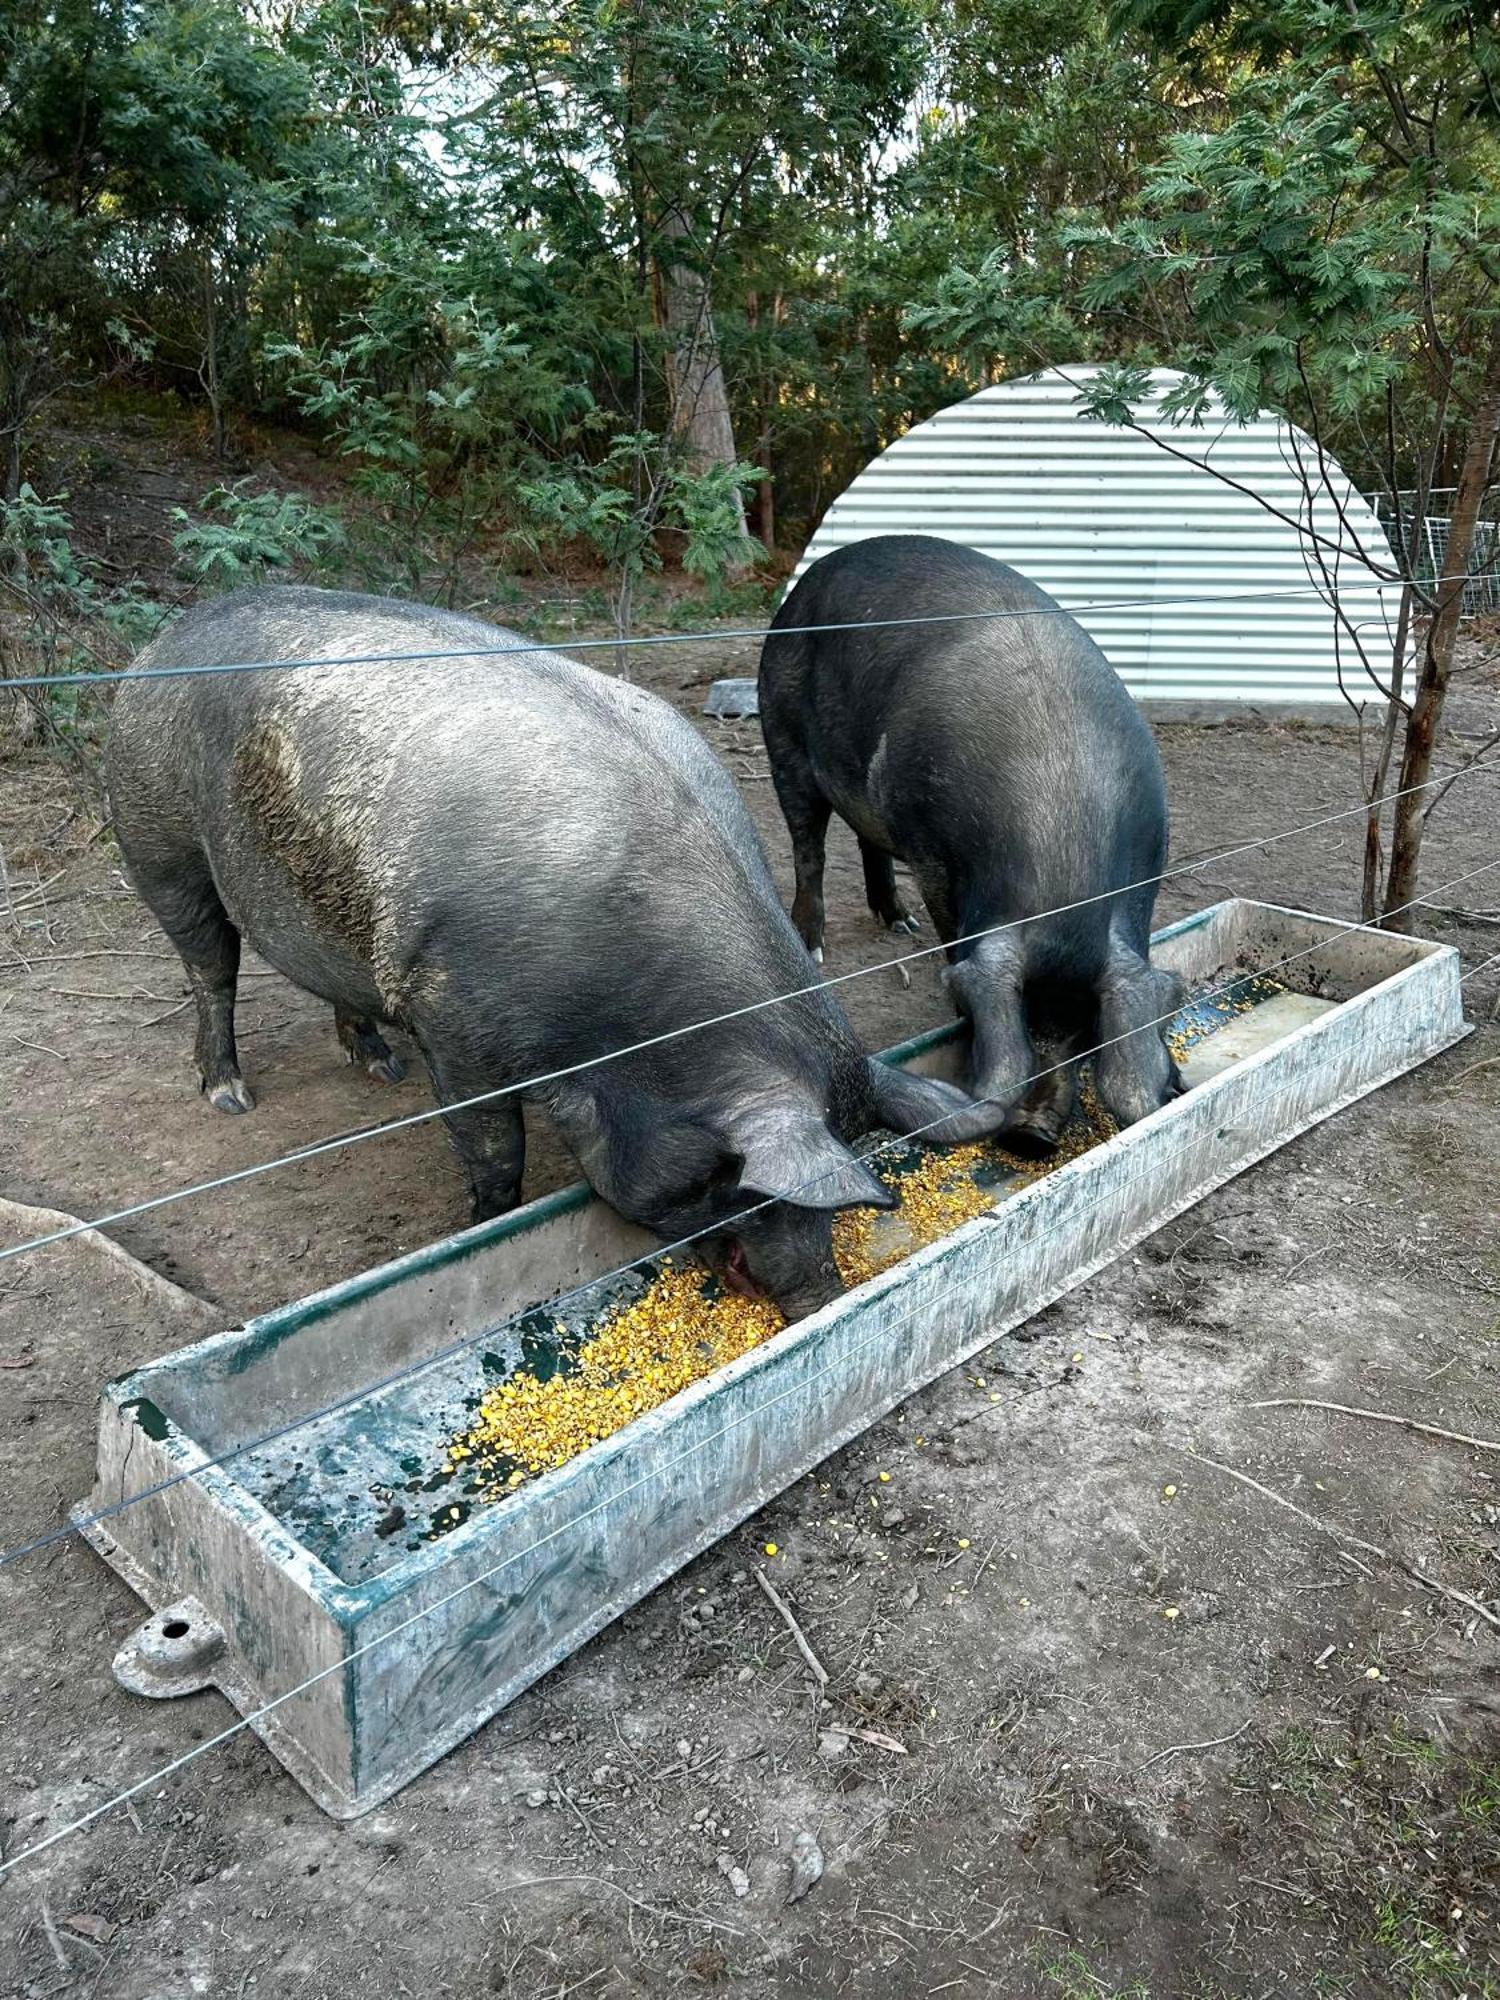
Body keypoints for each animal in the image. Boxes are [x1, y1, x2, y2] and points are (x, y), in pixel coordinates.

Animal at [108, 584, 1012, 1320]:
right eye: (738, 1187)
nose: (818, 1294)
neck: (618, 1032)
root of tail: (163, 641)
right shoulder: (449, 1014)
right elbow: (492, 1148)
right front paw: (484, 1226)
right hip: (159, 842)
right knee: (210, 966)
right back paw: (229, 1095)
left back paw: (378, 1068)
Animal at [764, 540, 1184, 1152]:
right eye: (1022, 1024)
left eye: (1087, 1037)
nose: (1031, 1136)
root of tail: (812, 575)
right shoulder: (932, 855)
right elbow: (950, 935)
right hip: (782, 736)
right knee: (808, 848)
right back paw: (813, 945)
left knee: (868, 841)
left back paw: (899, 923)